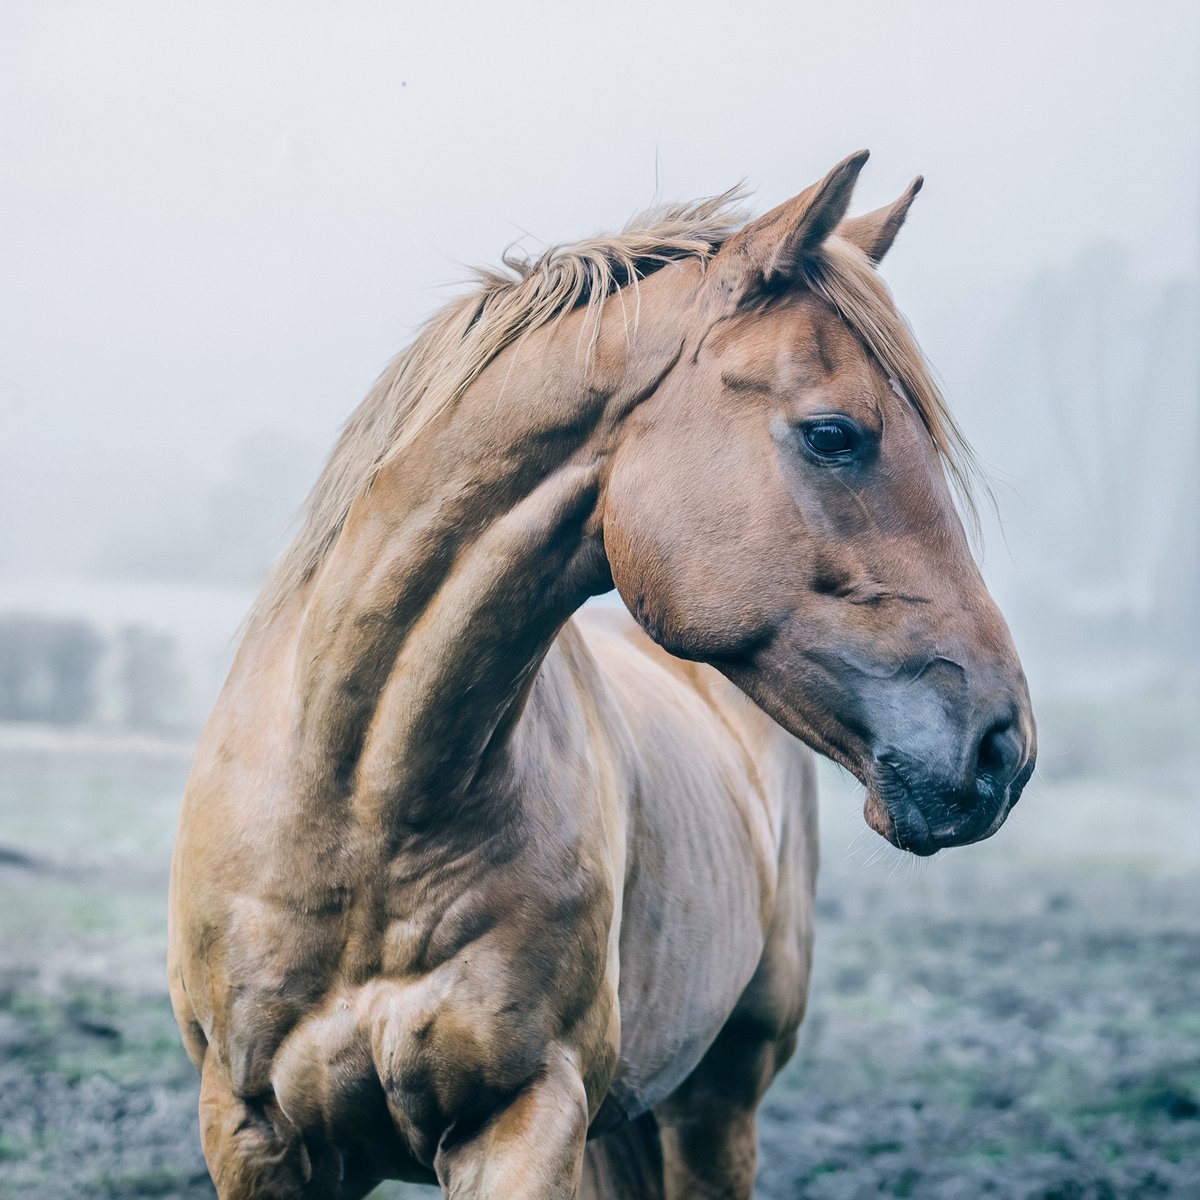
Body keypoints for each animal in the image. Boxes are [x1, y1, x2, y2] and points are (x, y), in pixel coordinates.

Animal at [166, 152, 1032, 1200]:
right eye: (834, 434)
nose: (1002, 747)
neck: (363, 807)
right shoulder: (254, 1132)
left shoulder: (525, 1119)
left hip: (719, 1095)